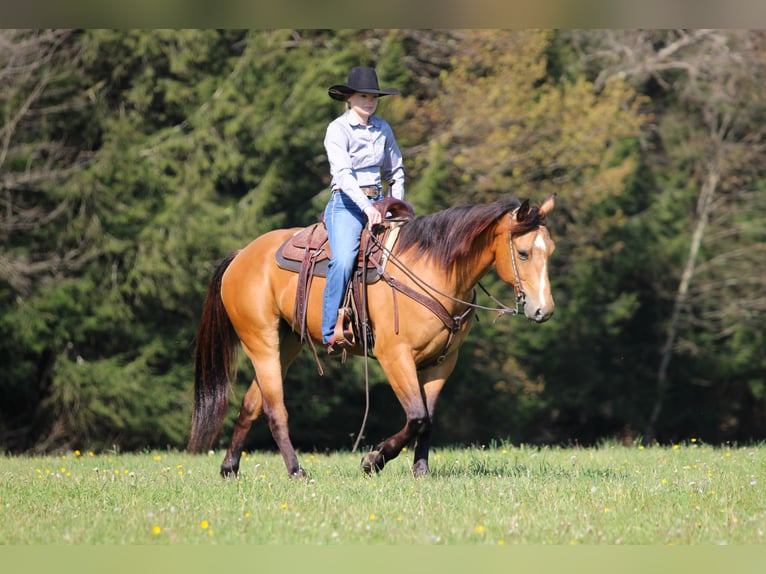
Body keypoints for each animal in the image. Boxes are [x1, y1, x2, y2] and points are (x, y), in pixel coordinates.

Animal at [188, 194, 556, 478]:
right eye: (523, 253)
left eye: (550, 251)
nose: (544, 311)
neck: (434, 270)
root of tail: (241, 256)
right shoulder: (395, 356)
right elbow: (416, 415)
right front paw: (373, 459)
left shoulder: (442, 362)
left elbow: (428, 419)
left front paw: (420, 470)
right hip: (261, 341)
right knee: (274, 408)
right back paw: (296, 471)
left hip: (286, 344)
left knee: (252, 403)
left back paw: (229, 468)